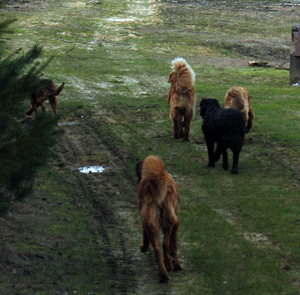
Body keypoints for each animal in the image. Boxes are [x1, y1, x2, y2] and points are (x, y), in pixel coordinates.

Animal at [137, 156, 183, 284]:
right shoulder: (175, 223)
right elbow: (173, 245)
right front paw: (176, 263)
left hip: (152, 221)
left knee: (157, 248)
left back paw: (163, 273)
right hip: (167, 221)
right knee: (165, 244)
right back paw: (169, 266)